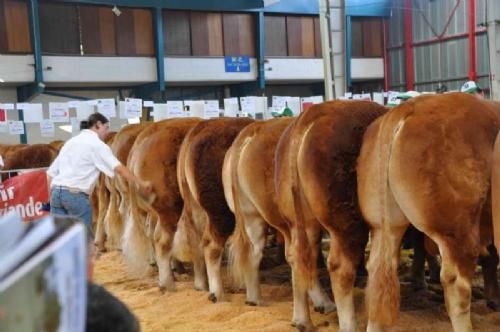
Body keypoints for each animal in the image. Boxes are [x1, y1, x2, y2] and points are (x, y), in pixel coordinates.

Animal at [175, 117, 254, 300]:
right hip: (220, 212)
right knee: (211, 245)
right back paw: (217, 293)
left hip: (195, 208)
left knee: (197, 241)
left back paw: (201, 284)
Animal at [274, 100, 386, 330]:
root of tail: (312, 115)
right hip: (347, 222)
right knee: (340, 266)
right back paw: (348, 325)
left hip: (301, 220)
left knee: (300, 256)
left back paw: (302, 320)